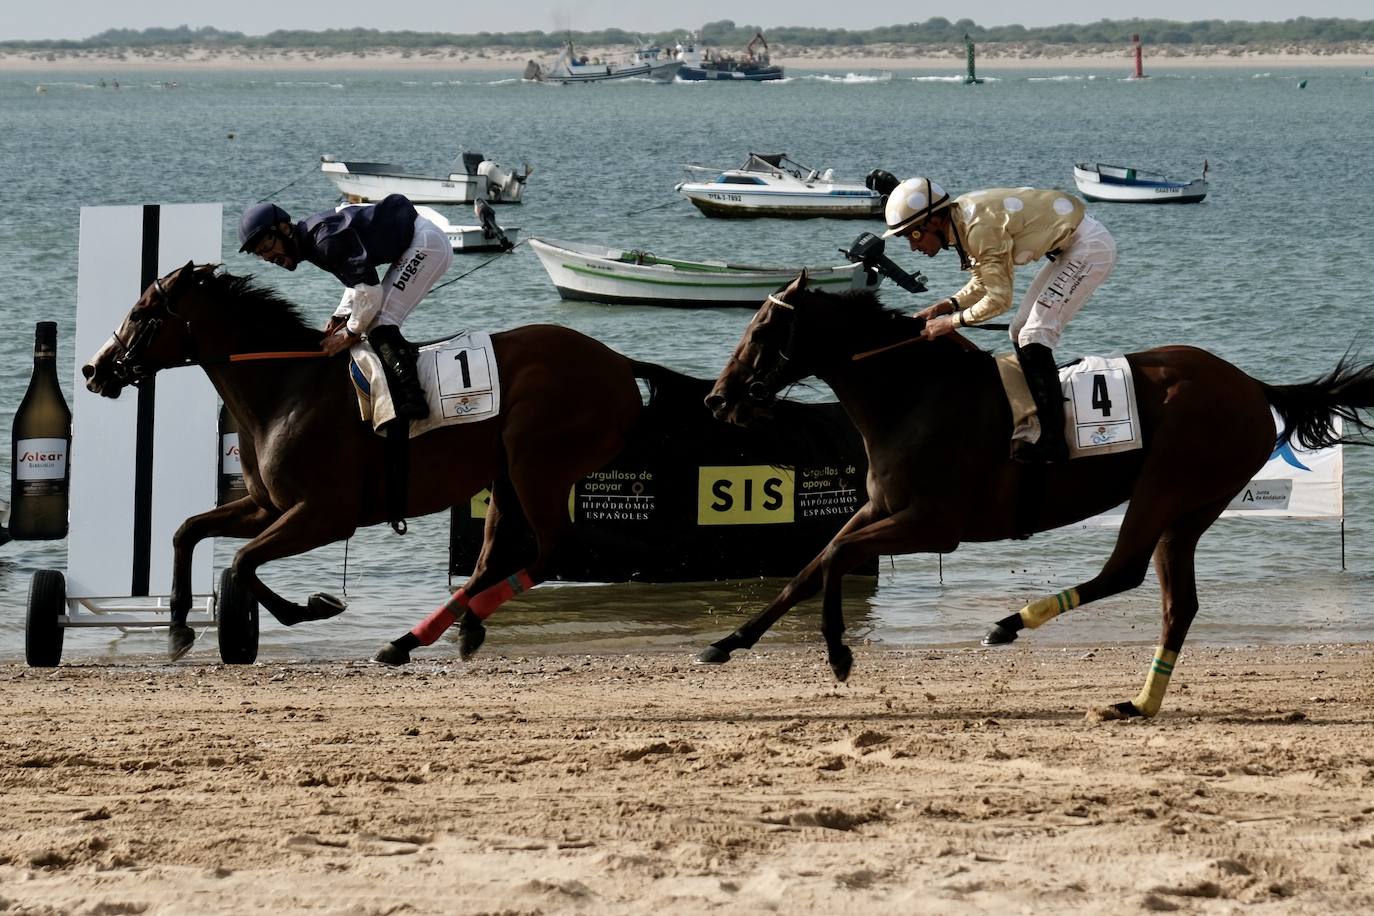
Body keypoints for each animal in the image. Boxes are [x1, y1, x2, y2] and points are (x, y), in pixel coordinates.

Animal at [81, 262, 659, 664]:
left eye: (141, 314)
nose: (94, 369)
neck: (287, 386)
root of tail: (618, 363)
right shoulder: (269, 506)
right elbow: (187, 532)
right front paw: (179, 626)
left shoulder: (325, 514)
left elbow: (243, 561)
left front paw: (310, 607)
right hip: (507, 476)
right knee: (491, 559)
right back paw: (426, 636)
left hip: (537, 465)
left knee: (549, 551)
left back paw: (426, 634)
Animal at [699, 273, 1374, 719]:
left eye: (763, 329)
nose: (718, 398)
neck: (915, 394)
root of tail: (1252, 385)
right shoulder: (881, 508)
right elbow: (809, 568)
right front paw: (727, 642)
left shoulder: (935, 524)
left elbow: (837, 558)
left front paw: (839, 653)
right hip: (1194, 507)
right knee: (1176, 603)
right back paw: (1138, 703)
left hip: (1168, 486)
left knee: (1124, 571)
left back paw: (1009, 624)